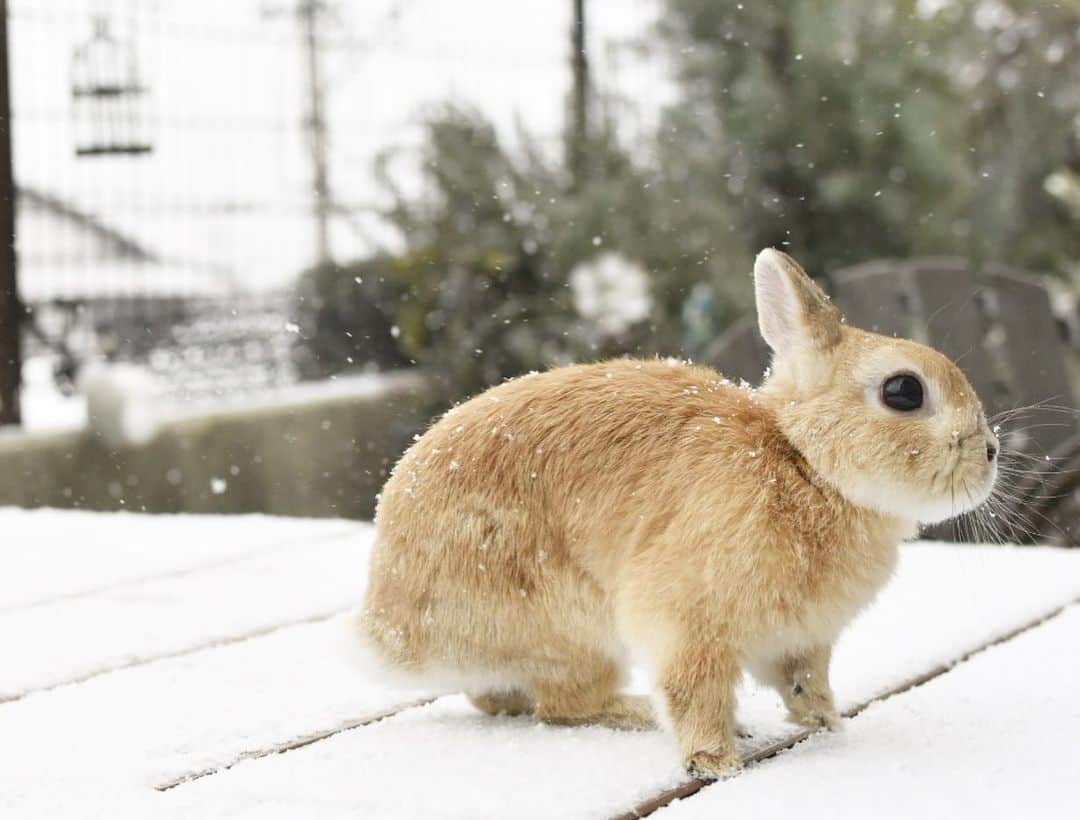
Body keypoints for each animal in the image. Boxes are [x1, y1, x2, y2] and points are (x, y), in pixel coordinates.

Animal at [358, 248, 999, 779]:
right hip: (570, 628)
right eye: (903, 392)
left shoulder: (802, 641)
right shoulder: (688, 621)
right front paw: (716, 762)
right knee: (563, 706)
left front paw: (826, 724)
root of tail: (388, 629)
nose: (990, 453)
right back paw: (639, 712)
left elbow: (804, 684)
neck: (803, 464)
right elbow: (694, 692)